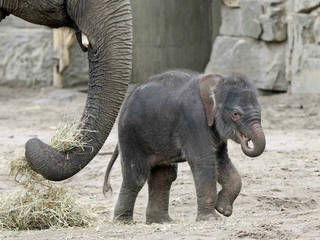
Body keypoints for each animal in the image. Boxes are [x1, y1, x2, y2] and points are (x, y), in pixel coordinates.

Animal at [102, 69, 264, 223]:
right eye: (236, 114)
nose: (247, 141)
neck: (217, 82)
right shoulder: (193, 119)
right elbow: (203, 160)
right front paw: (212, 219)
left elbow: (221, 160)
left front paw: (223, 210)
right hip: (131, 134)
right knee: (136, 177)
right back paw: (123, 222)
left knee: (164, 176)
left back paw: (161, 222)